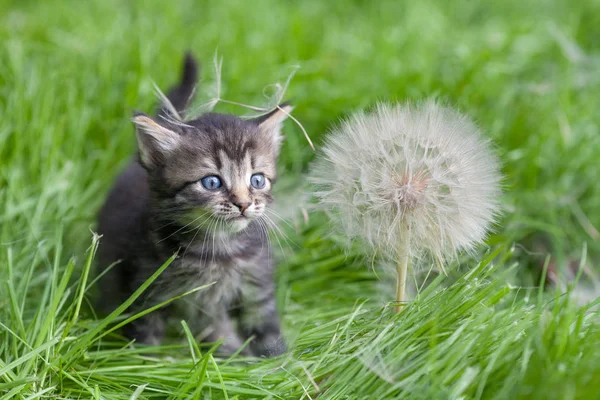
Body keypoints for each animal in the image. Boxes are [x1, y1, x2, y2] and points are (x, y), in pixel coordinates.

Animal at [97, 54, 292, 356]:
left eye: (257, 180)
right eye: (212, 182)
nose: (243, 204)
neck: (221, 251)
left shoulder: (257, 286)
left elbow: (266, 328)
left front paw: (281, 361)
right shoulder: (145, 291)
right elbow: (146, 337)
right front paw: (147, 365)